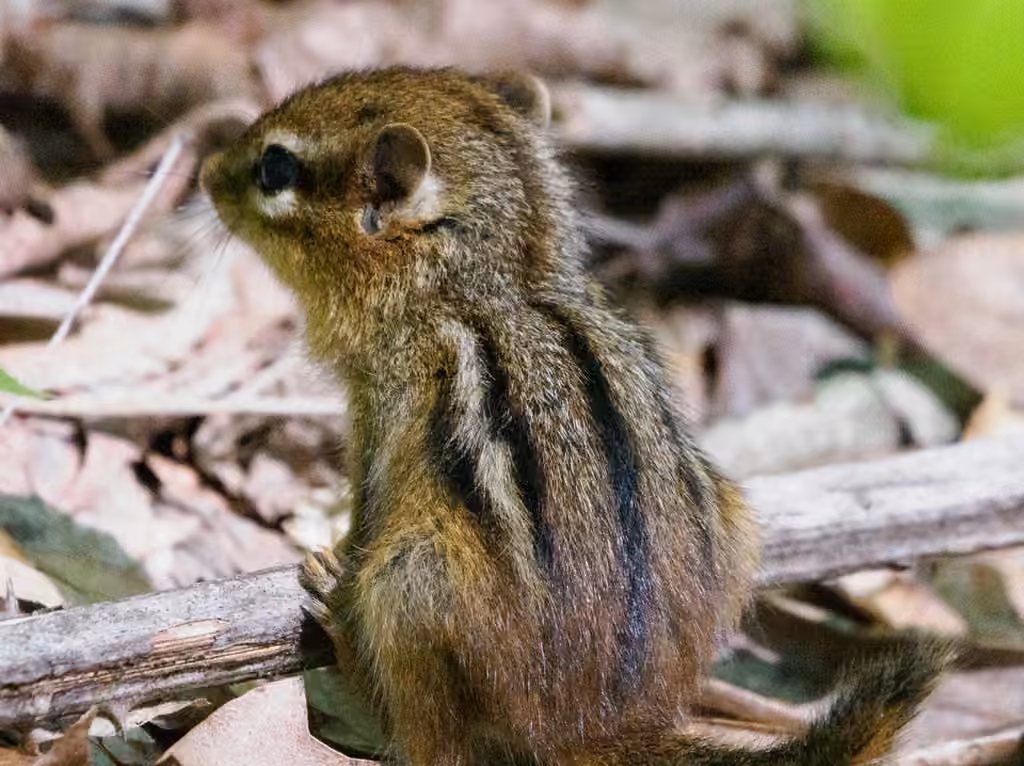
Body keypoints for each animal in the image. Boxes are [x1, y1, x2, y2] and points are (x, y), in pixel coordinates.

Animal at [200, 66, 949, 765]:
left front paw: (336, 548)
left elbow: (366, 503)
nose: (205, 170)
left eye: (275, 167)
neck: (492, 281)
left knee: (430, 737)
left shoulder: (381, 410)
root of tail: (597, 725)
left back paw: (342, 628)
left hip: (412, 584)